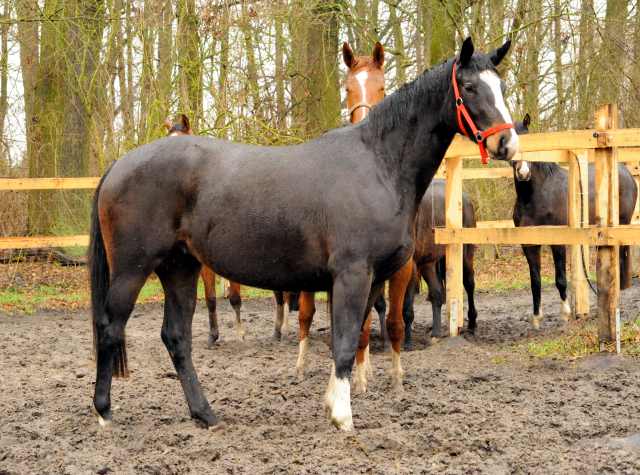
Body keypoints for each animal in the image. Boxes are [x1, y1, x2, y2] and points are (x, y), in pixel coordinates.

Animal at [510, 115, 636, 330]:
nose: (523, 172)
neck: (535, 196)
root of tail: (625, 171)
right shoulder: (529, 244)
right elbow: (535, 281)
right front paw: (537, 318)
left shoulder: (558, 242)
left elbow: (560, 279)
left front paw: (565, 315)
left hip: (621, 227)